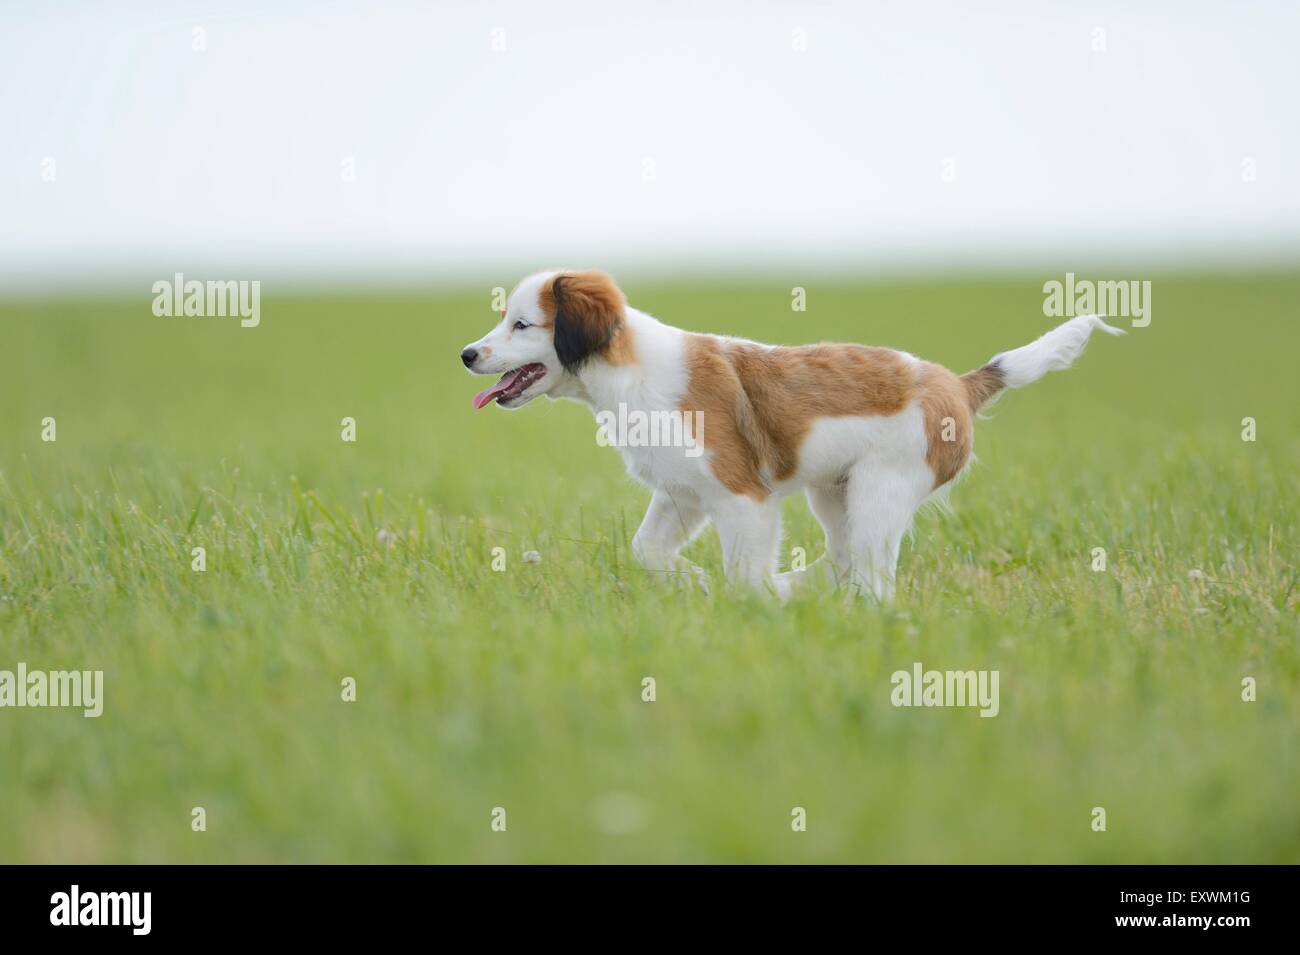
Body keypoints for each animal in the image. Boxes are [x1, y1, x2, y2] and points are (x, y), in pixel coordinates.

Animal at [462, 268, 1123, 597]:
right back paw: (802, 590)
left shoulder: (742, 498)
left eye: (522, 324)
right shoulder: (683, 495)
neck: (631, 369)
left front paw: (748, 605)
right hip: (835, 493)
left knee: (874, 578)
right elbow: (646, 549)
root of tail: (958, 385)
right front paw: (694, 583)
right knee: (844, 560)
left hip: (880, 492)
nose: (467, 354)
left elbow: (744, 575)